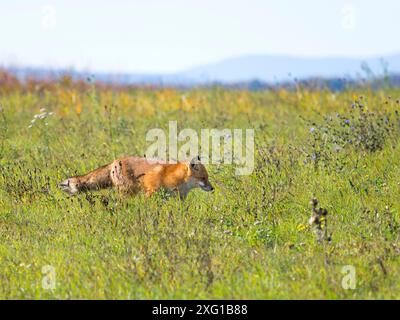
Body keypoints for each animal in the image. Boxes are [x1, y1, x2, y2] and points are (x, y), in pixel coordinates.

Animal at [58, 156, 212, 200]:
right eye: (203, 178)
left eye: (207, 178)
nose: (212, 188)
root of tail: (115, 162)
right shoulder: (151, 193)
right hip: (128, 192)